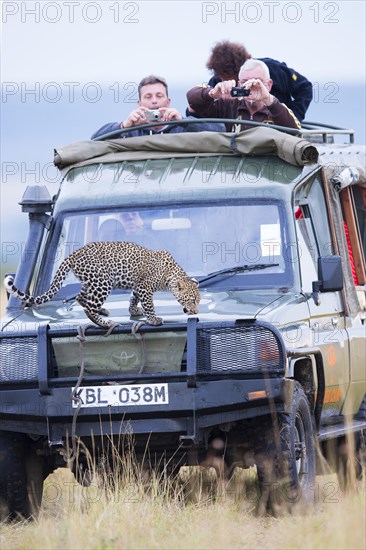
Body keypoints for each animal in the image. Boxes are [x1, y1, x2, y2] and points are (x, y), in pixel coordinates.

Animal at [4, 242, 200, 328]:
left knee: (80, 297)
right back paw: (105, 322)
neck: (170, 275)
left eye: (197, 301)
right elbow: (149, 305)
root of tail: (73, 255)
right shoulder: (144, 287)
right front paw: (153, 319)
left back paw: (103, 310)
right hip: (103, 282)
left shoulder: (138, 286)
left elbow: (133, 298)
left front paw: (134, 310)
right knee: (88, 308)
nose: (196, 311)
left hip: (91, 281)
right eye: (191, 300)